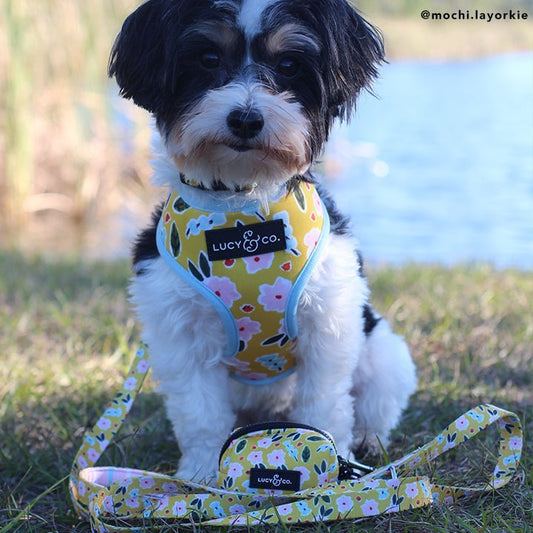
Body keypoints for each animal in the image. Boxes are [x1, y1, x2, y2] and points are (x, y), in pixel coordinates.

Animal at [109, 0, 416, 482]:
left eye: (288, 65)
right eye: (208, 58)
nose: (246, 118)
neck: (242, 209)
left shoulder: (328, 324)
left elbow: (324, 406)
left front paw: (330, 469)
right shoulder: (180, 334)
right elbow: (200, 415)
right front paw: (202, 476)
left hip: (384, 354)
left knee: (374, 404)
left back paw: (367, 443)